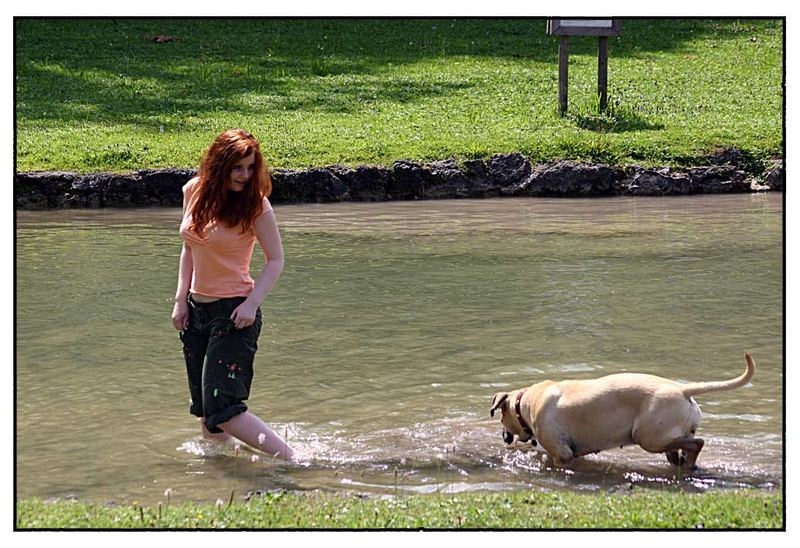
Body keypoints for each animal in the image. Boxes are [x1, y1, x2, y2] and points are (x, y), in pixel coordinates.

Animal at [488, 352, 756, 466]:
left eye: (500, 418)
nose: (503, 436)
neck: (526, 401)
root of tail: (683, 390)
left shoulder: (561, 453)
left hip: (648, 437)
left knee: (697, 443)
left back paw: (690, 461)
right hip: (665, 437)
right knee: (682, 449)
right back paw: (686, 465)